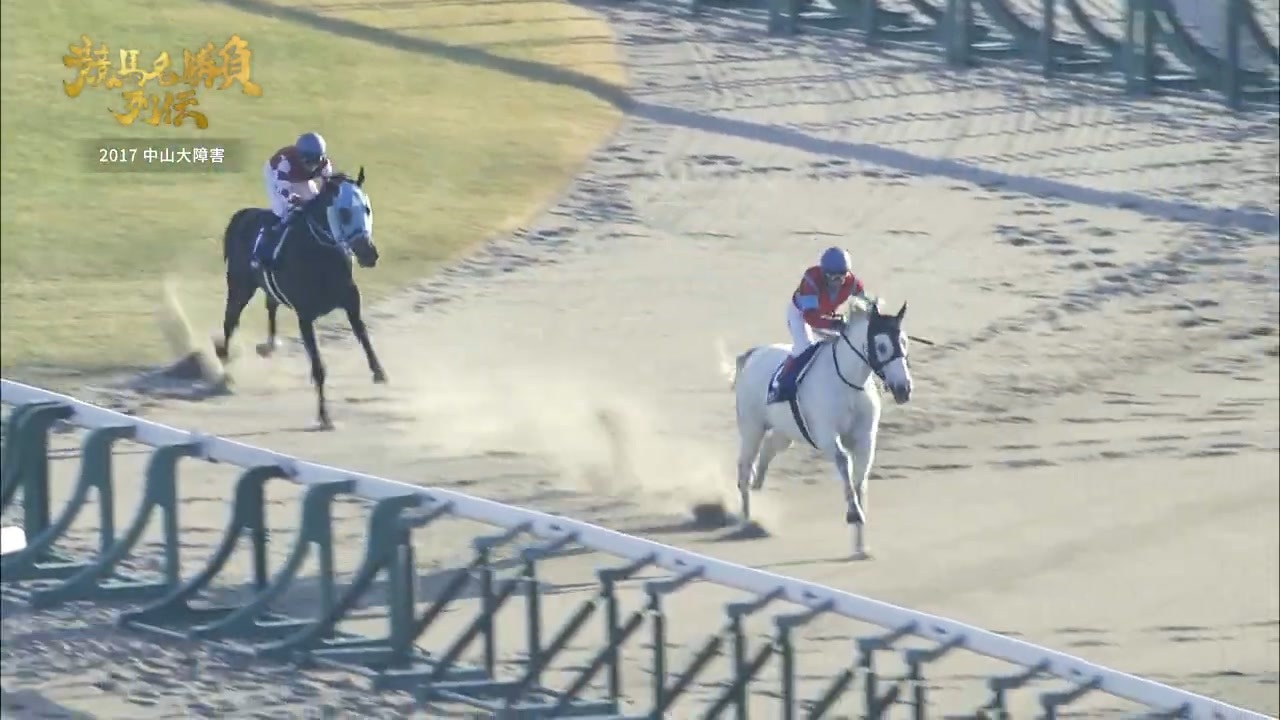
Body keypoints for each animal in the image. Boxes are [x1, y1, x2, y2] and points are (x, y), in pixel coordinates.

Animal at [216, 166, 384, 425]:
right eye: (344, 212)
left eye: (366, 208)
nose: (369, 254)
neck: (321, 255)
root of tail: (241, 215)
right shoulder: (305, 317)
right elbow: (318, 366)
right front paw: (324, 416)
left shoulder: (351, 302)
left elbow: (363, 334)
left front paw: (378, 372)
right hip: (239, 287)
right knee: (230, 320)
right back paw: (225, 365)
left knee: (270, 305)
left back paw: (269, 346)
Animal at [727, 299, 916, 558]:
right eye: (881, 345)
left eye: (904, 340)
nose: (903, 389)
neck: (848, 382)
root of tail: (753, 354)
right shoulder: (827, 435)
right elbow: (843, 462)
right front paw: (853, 513)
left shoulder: (865, 439)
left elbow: (860, 478)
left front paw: (860, 546)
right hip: (751, 427)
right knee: (744, 467)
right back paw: (746, 519)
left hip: (785, 432)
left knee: (767, 452)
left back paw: (758, 486)